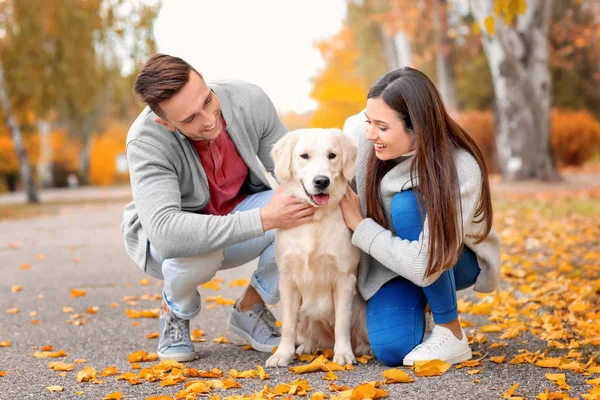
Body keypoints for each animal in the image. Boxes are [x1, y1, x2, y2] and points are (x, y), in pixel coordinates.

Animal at [264, 129, 368, 368]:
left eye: (332, 155)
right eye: (304, 156)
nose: (321, 181)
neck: (315, 219)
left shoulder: (344, 278)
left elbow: (342, 323)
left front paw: (344, 354)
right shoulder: (287, 280)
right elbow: (288, 325)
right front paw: (282, 355)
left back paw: (361, 349)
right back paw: (306, 347)